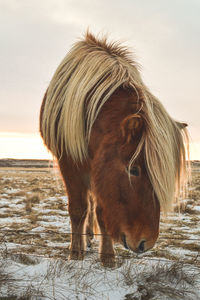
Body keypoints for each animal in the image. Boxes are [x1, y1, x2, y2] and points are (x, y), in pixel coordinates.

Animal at [40, 31, 189, 266]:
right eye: (133, 170)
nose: (145, 243)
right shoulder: (69, 162)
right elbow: (78, 209)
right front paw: (76, 253)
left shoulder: (101, 171)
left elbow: (102, 212)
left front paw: (108, 256)